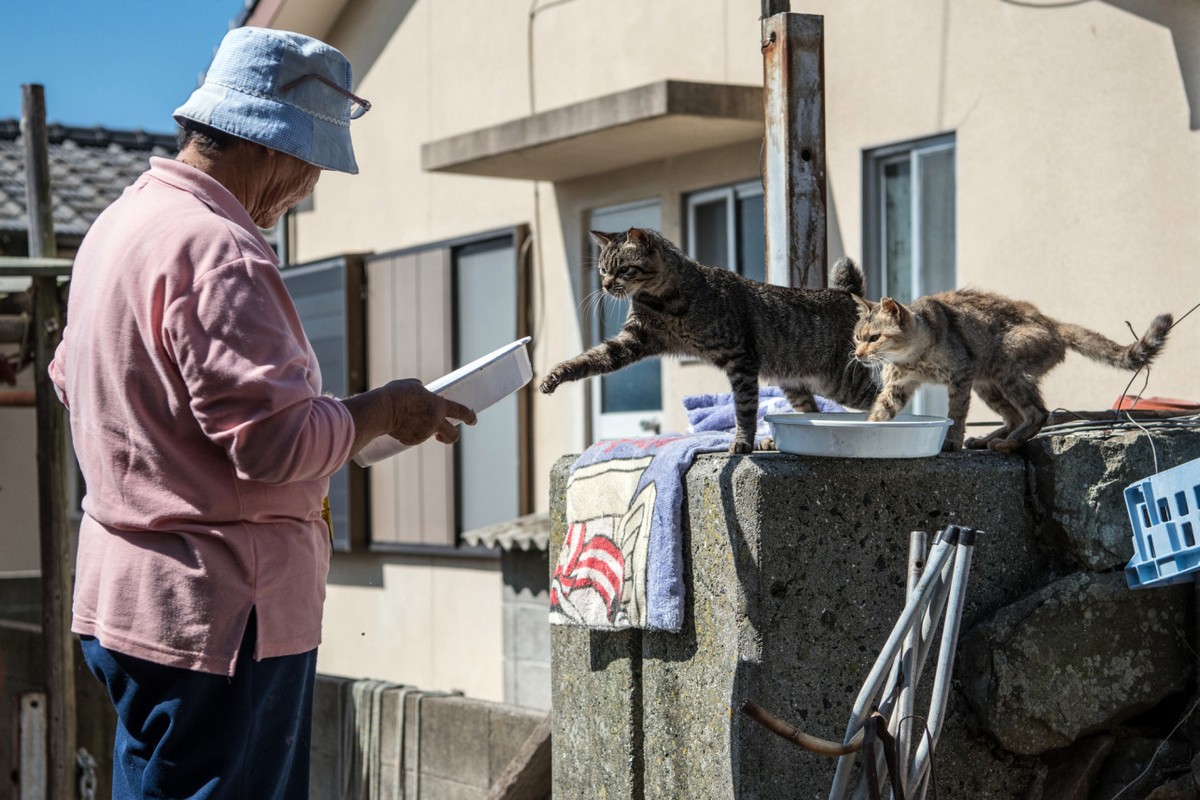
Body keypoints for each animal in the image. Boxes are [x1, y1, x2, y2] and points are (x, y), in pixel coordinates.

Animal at [540, 226, 878, 450]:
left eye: (622, 269)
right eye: (602, 270)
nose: (606, 286)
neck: (663, 300)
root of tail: (847, 294)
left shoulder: (740, 359)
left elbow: (744, 408)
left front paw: (742, 442)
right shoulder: (632, 341)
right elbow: (589, 359)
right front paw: (555, 375)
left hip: (842, 383)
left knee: (882, 396)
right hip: (796, 386)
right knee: (812, 413)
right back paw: (774, 441)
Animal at [854, 287, 1171, 450]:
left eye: (874, 338)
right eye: (858, 337)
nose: (857, 354)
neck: (912, 357)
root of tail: (1053, 324)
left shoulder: (961, 376)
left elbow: (956, 415)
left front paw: (952, 442)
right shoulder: (899, 385)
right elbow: (881, 411)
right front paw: (869, 430)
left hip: (1007, 367)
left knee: (1039, 414)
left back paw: (1007, 444)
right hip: (988, 384)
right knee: (1015, 416)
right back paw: (988, 439)